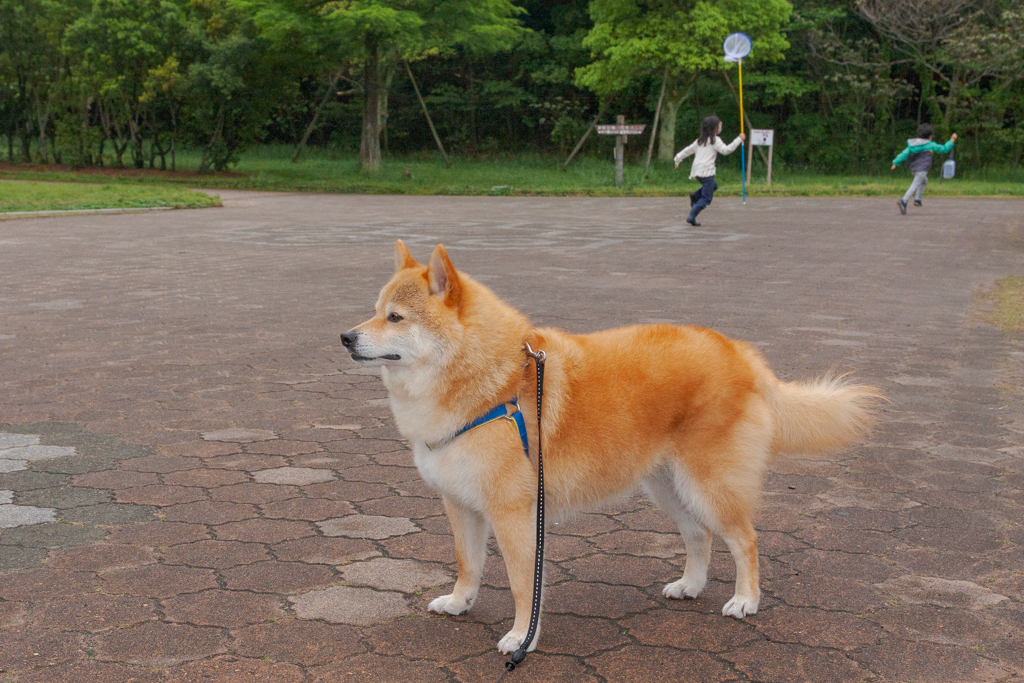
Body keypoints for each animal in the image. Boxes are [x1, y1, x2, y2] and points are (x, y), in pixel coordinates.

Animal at [339, 240, 876, 651]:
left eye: (395, 317)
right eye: (375, 311)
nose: (345, 336)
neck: (491, 383)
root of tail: (740, 354)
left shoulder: (514, 515)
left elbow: (521, 586)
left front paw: (522, 638)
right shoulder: (461, 505)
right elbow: (467, 564)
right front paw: (459, 602)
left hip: (708, 485)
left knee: (745, 540)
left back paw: (746, 600)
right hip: (668, 488)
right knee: (699, 536)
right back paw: (690, 585)